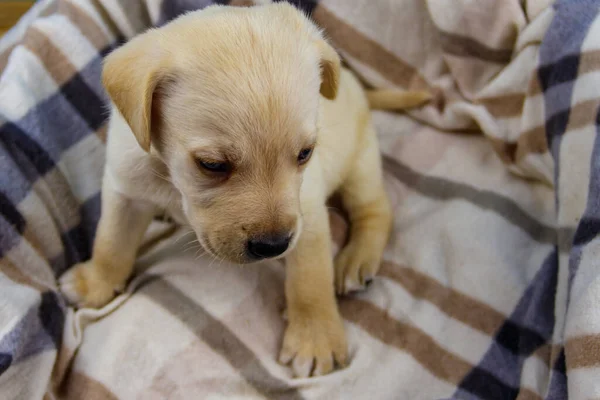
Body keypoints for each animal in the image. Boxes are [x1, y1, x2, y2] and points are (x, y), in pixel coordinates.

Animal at [58, 3, 428, 378]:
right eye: (212, 164)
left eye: (305, 154)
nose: (274, 246)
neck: (173, 182)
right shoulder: (125, 189)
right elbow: (111, 242)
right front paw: (96, 282)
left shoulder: (306, 211)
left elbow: (311, 278)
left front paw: (315, 337)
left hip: (360, 165)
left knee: (376, 211)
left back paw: (356, 260)